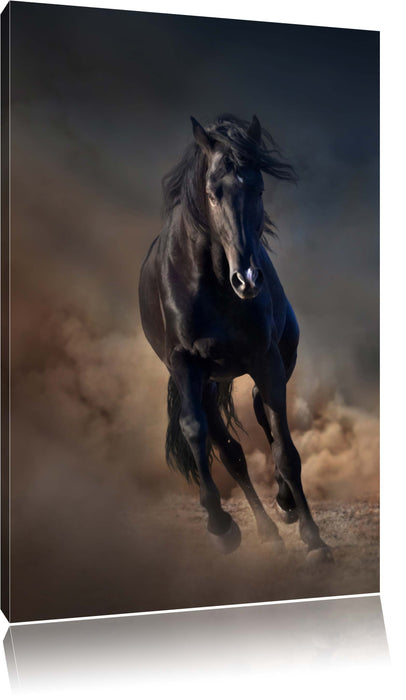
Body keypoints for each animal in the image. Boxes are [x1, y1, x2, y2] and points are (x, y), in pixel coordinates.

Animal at [139, 114, 332, 564]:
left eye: (257, 188)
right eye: (213, 193)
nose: (247, 279)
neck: (211, 282)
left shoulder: (266, 361)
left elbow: (285, 450)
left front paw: (313, 538)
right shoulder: (185, 364)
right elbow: (196, 432)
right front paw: (220, 525)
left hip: (266, 367)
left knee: (263, 418)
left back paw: (285, 508)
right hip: (208, 383)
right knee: (230, 452)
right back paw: (264, 531)